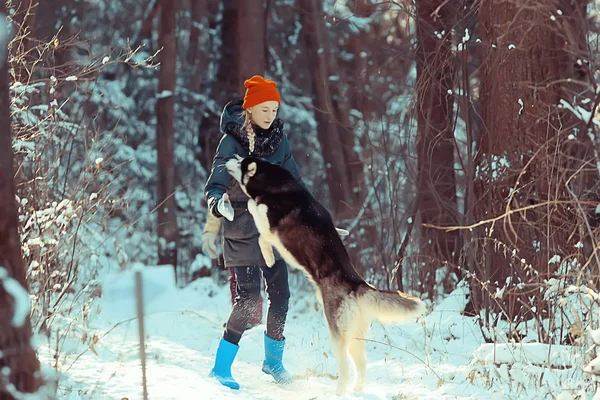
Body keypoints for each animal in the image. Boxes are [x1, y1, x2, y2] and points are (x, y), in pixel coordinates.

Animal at [225, 155, 426, 394]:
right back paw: (357, 390)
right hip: (355, 335)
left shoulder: (268, 225)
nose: (228, 159)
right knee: (361, 363)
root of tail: (357, 284)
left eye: (240, 163)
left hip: (337, 333)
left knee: (345, 367)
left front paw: (269, 257)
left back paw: (340, 391)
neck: (275, 186)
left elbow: (254, 218)